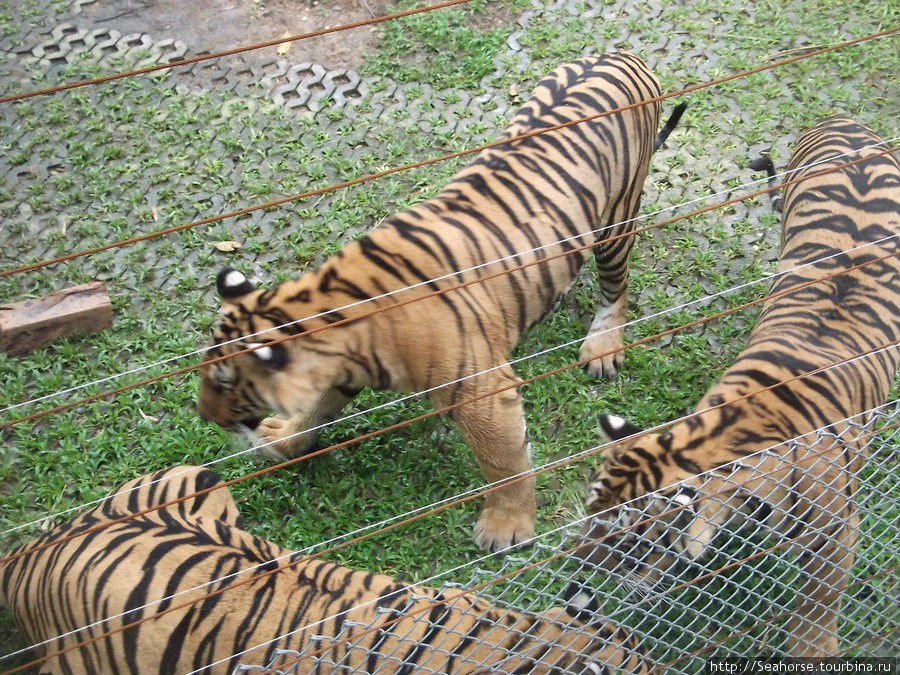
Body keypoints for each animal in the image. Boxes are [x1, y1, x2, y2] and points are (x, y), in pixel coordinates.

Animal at [197, 50, 684, 552]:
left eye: (225, 384)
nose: (204, 416)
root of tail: (625, 55)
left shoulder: (481, 391)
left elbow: (503, 462)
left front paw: (506, 526)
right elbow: (316, 411)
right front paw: (286, 439)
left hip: (618, 221)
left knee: (617, 288)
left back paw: (602, 348)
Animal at [568, 115, 900, 656]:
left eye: (627, 537)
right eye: (589, 511)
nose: (573, 563)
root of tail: (844, 120)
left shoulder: (837, 531)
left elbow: (819, 601)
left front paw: (813, 649)